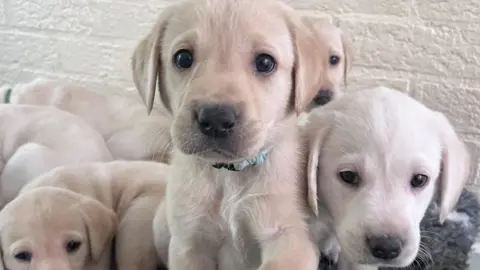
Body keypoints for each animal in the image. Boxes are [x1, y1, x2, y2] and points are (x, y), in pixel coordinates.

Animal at [132, 0, 330, 270]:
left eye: (265, 63)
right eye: (183, 58)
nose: (216, 119)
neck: (229, 175)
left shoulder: (291, 239)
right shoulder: (189, 243)